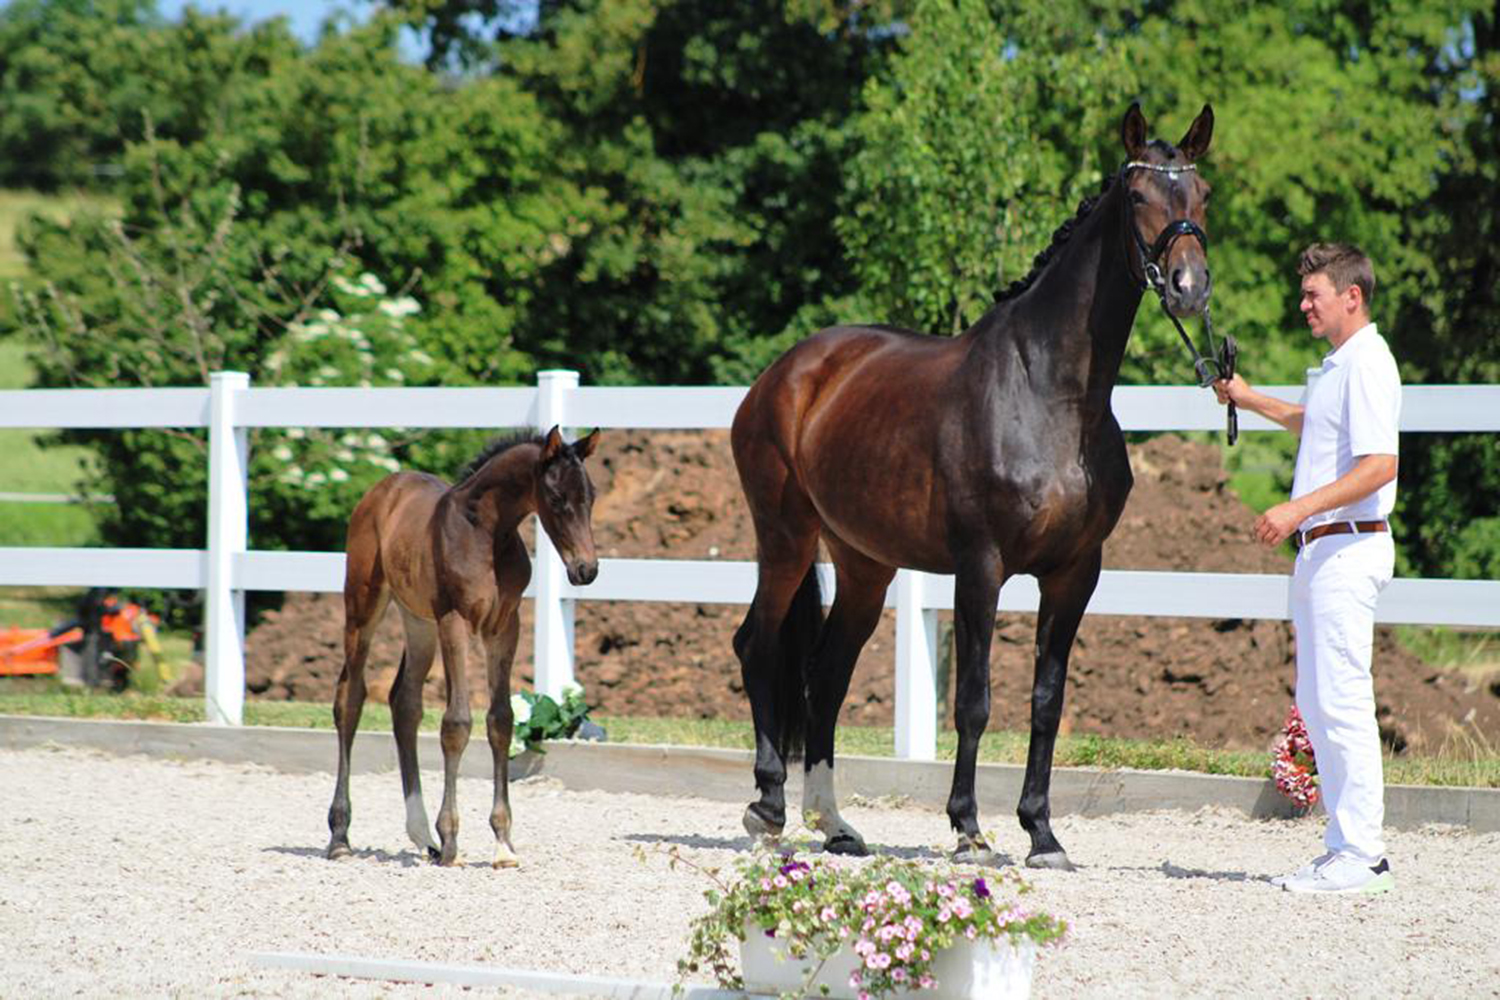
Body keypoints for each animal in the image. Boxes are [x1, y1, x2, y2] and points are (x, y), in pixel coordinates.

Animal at [325, 425, 600, 868]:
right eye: (557, 498)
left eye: (591, 496)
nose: (585, 570)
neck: (486, 533)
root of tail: (384, 487)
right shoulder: (454, 620)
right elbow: (456, 723)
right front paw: (452, 838)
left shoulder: (504, 625)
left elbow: (501, 721)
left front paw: (503, 844)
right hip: (363, 606)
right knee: (349, 699)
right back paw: (340, 837)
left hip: (418, 621)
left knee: (405, 703)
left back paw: (422, 838)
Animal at [730, 102, 1214, 869]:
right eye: (1139, 195)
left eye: (1201, 195)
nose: (1188, 287)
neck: (1050, 393)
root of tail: (786, 374)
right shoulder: (980, 566)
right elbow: (975, 700)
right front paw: (969, 830)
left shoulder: (1076, 573)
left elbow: (1046, 701)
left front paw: (1042, 833)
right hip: (785, 538)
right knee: (758, 645)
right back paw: (769, 807)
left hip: (864, 565)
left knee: (825, 674)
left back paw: (835, 824)